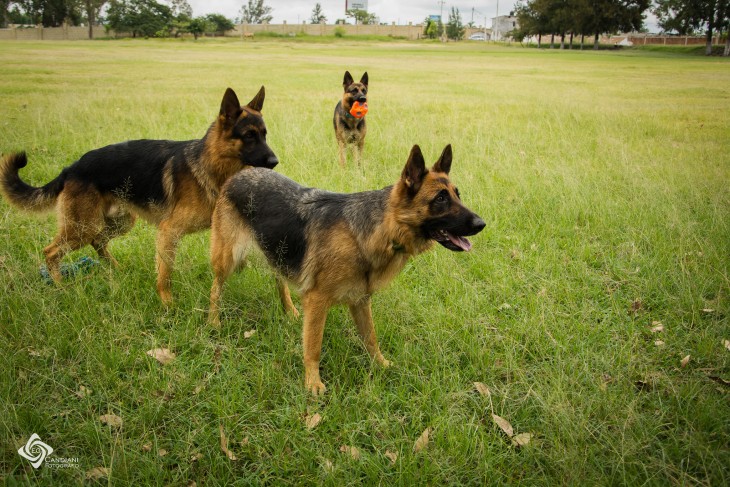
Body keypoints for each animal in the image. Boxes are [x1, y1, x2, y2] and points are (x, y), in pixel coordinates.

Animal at [0, 86, 278, 304]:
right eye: (249, 136)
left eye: (265, 135)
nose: (275, 162)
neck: (211, 163)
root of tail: (72, 167)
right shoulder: (169, 232)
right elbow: (165, 274)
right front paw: (167, 304)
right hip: (83, 227)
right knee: (51, 251)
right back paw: (60, 286)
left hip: (118, 222)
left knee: (98, 242)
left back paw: (115, 269)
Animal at [208, 145, 486, 396]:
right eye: (440, 199)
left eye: (457, 194)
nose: (482, 223)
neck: (382, 229)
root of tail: (241, 173)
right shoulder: (317, 301)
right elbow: (313, 346)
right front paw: (312, 383)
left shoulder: (361, 301)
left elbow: (371, 338)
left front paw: (381, 365)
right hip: (227, 258)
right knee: (215, 288)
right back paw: (213, 321)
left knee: (279, 278)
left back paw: (288, 309)